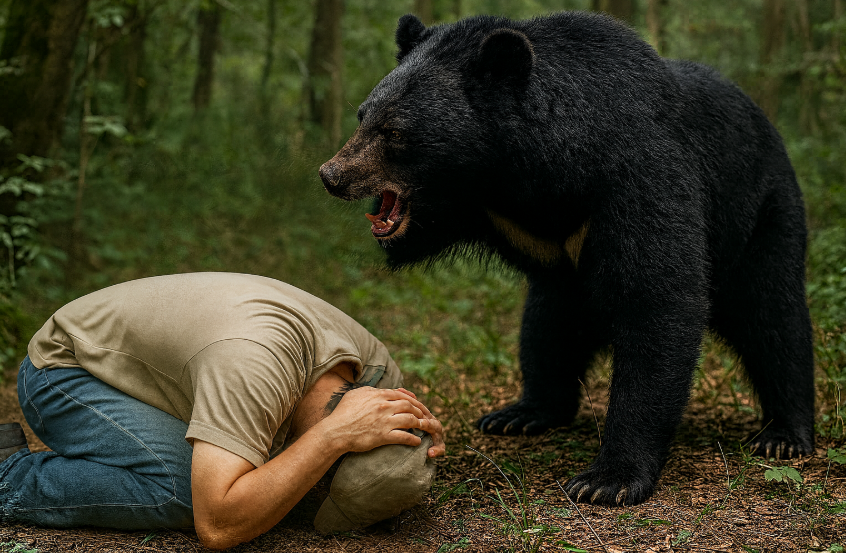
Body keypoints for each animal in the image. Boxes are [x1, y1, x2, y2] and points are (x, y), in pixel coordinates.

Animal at [318, 11, 815, 506]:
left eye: (394, 131)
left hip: (761, 214)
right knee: (546, 330)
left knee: (772, 315)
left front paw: (607, 479)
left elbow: (658, 300)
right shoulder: (484, 202)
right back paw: (523, 411)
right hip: (566, 289)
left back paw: (784, 434)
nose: (332, 175)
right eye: (363, 116)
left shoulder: (640, 175)